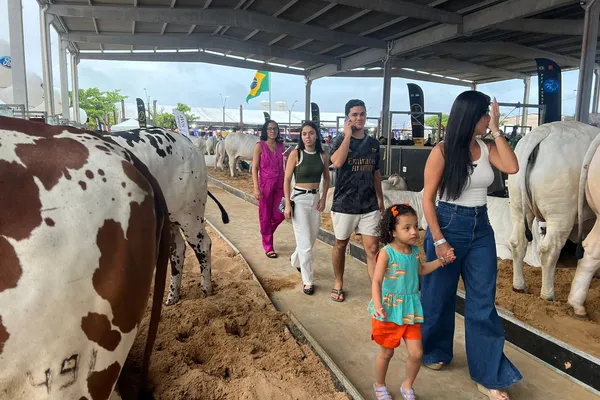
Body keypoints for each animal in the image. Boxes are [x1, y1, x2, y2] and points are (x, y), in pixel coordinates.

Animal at [106, 128, 229, 306]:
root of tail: (187, 141)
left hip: (189, 214)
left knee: (203, 246)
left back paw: (206, 290)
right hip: (170, 220)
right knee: (177, 249)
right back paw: (172, 296)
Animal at [508, 122, 596, 300]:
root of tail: (545, 130)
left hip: (518, 206)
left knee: (517, 242)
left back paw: (519, 286)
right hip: (561, 213)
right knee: (549, 250)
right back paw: (548, 295)